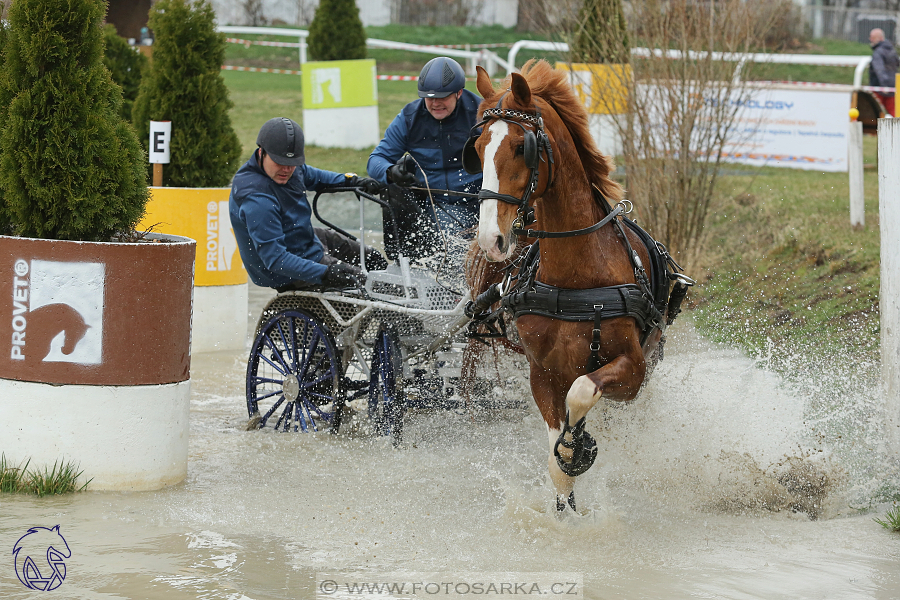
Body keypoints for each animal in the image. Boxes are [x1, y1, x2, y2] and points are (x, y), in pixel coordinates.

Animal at [468, 59, 680, 510]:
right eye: (477, 148)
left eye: (521, 147)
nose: (492, 239)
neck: (577, 279)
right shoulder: (542, 375)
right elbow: (556, 461)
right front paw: (566, 492)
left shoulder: (632, 371)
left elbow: (582, 393)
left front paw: (577, 444)